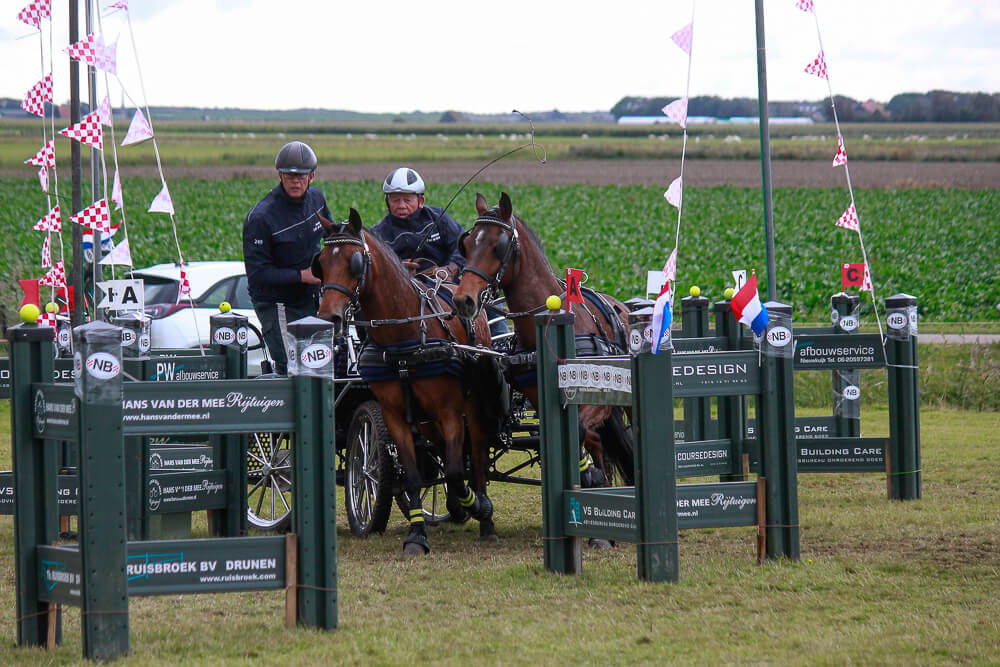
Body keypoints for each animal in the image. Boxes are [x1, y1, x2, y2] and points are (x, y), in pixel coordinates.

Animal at [313, 208, 503, 555]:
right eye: (320, 262)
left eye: (354, 262)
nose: (329, 318)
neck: (403, 338)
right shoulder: (394, 415)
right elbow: (415, 475)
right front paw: (417, 535)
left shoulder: (449, 411)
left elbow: (456, 472)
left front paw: (477, 506)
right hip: (426, 421)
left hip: (472, 407)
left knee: (477, 457)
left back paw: (484, 520)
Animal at [452, 192, 634, 486]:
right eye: (467, 245)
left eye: (497, 246)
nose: (462, 300)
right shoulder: (541, 401)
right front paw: (588, 474)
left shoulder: (596, 402)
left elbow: (580, 430)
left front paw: (588, 473)